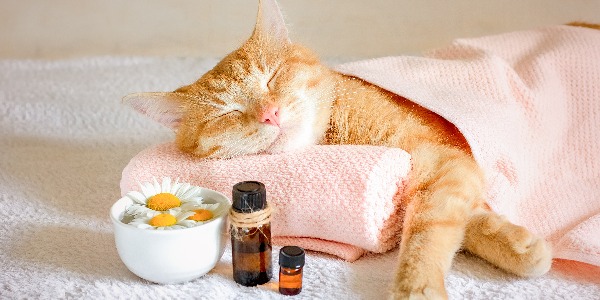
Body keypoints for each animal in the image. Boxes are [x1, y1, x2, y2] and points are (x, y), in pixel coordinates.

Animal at [123, 0, 552, 298]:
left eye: (272, 77)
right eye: (227, 113)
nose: (270, 114)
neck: (335, 130)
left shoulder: (443, 157)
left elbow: (428, 228)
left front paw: (416, 285)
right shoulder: (446, 167)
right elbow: (452, 218)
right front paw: (519, 245)